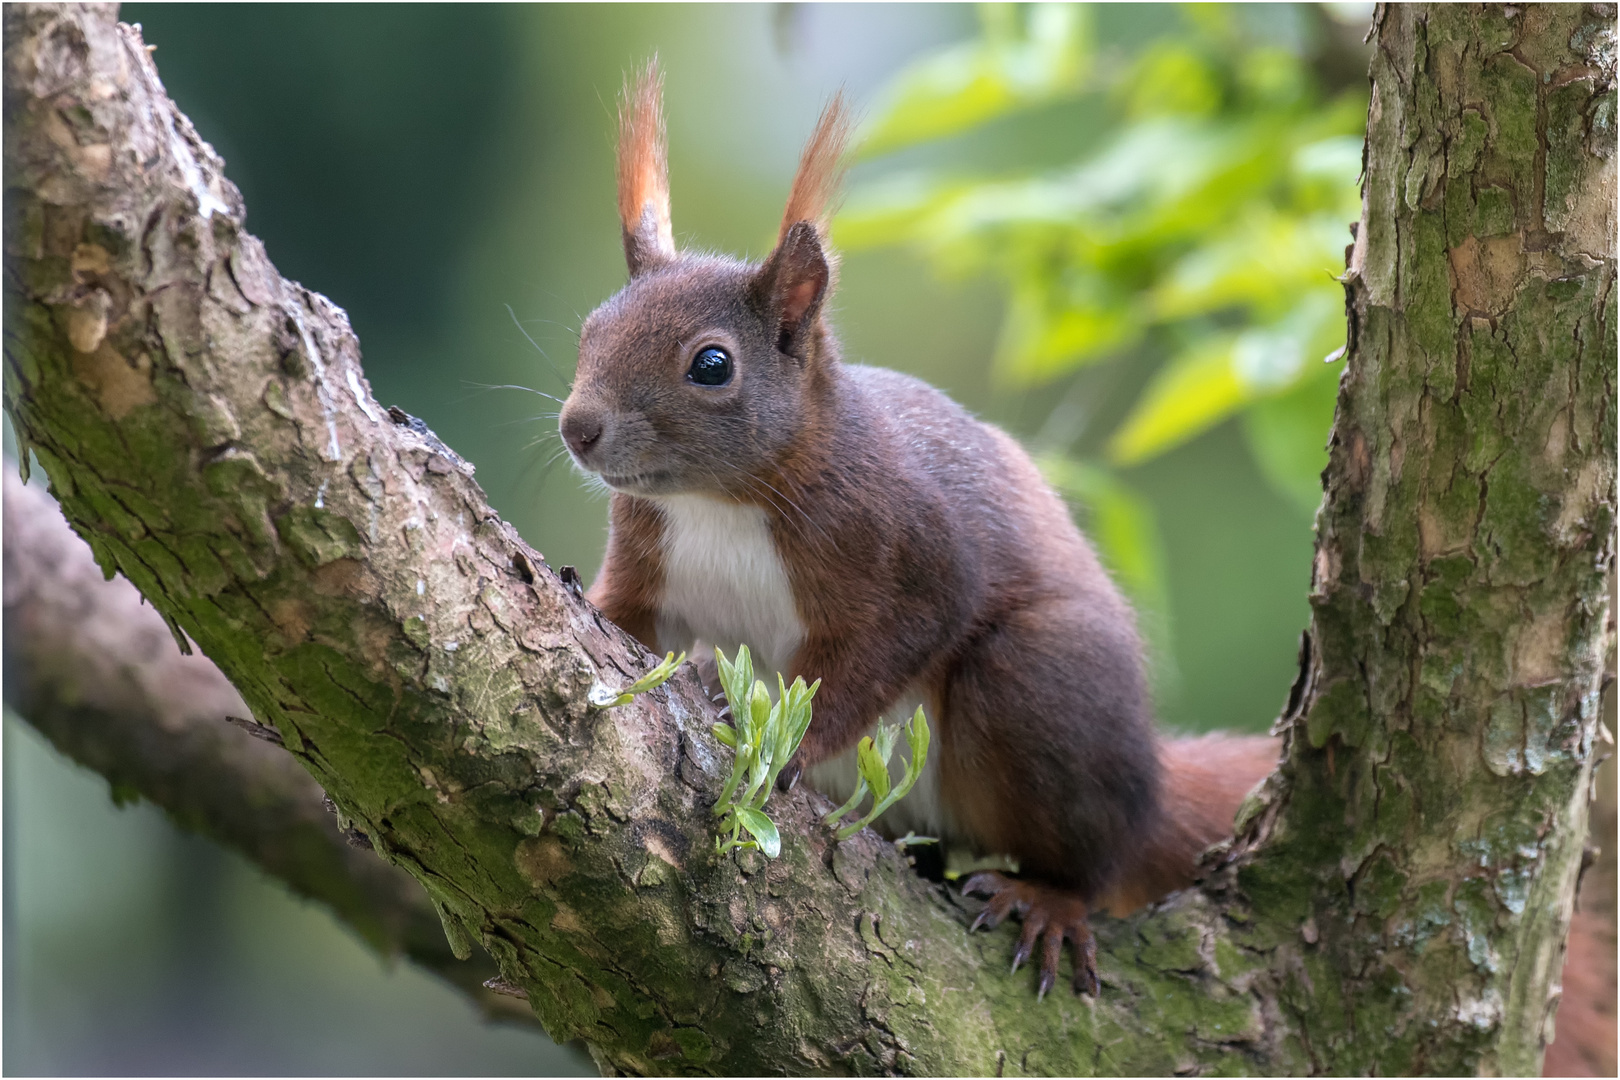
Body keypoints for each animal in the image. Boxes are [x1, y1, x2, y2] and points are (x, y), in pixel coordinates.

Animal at [563, 65, 1283, 997]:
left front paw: (801, 745)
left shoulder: (908, 540)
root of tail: (1154, 784)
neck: (720, 503)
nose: (578, 428)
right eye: (591, 328)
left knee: (1092, 852)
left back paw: (1052, 898)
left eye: (712, 364)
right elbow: (625, 615)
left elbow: (892, 644)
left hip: (1042, 683)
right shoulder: (646, 549)